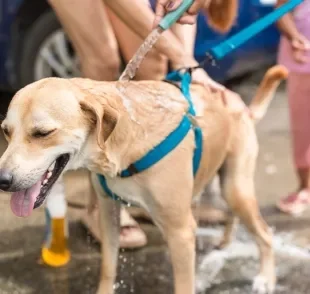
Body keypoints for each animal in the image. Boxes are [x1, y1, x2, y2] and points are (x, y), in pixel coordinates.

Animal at [0, 65, 286, 292]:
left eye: (42, 133)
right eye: (6, 131)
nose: (2, 180)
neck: (125, 140)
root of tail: (242, 106)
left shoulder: (181, 232)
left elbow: (184, 286)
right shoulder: (109, 214)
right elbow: (108, 268)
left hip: (234, 188)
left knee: (264, 233)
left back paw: (265, 278)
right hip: (221, 186)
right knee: (232, 215)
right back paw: (226, 241)